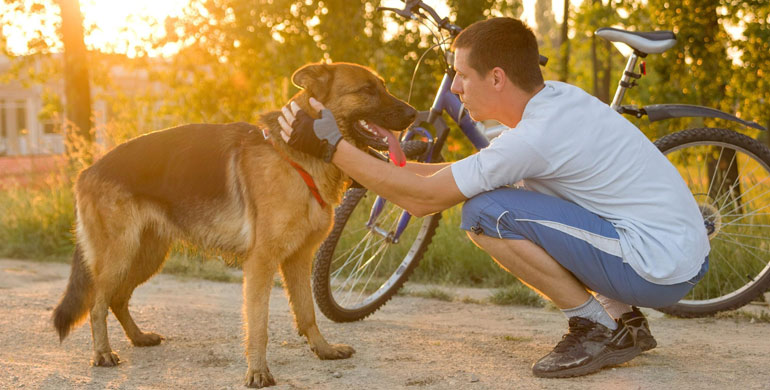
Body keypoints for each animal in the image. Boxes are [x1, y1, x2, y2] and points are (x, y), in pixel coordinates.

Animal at [51, 62, 416, 388]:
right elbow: (259, 324)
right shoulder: (261, 264)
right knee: (98, 304)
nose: (415, 115)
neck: (296, 154)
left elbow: (307, 312)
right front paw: (257, 373)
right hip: (120, 256)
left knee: (118, 299)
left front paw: (323, 350)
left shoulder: (298, 260)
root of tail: (87, 170)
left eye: (383, 86)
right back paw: (102, 353)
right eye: (367, 90)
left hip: (147, 256)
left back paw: (138, 337)